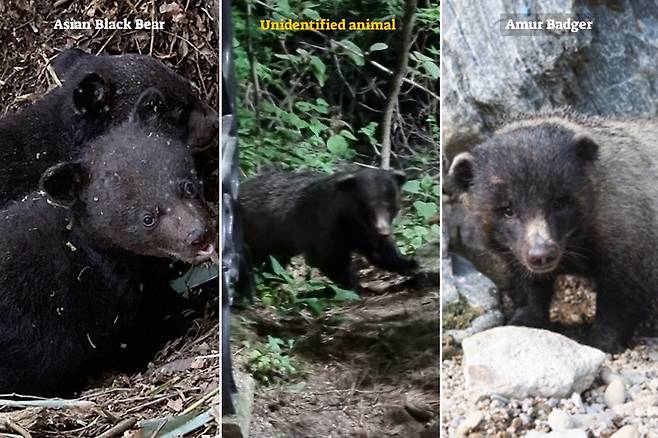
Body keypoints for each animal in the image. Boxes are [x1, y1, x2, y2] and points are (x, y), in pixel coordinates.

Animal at [240, 168, 416, 290]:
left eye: (391, 206)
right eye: (368, 207)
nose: (383, 232)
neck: (351, 220)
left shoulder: (363, 232)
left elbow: (379, 252)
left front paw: (409, 264)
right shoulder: (326, 227)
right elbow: (331, 259)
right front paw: (354, 286)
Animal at [448, 112, 656, 352]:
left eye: (559, 202)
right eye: (507, 209)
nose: (541, 254)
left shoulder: (630, 232)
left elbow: (621, 295)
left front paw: (600, 341)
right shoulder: (514, 253)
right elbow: (527, 284)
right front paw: (524, 319)